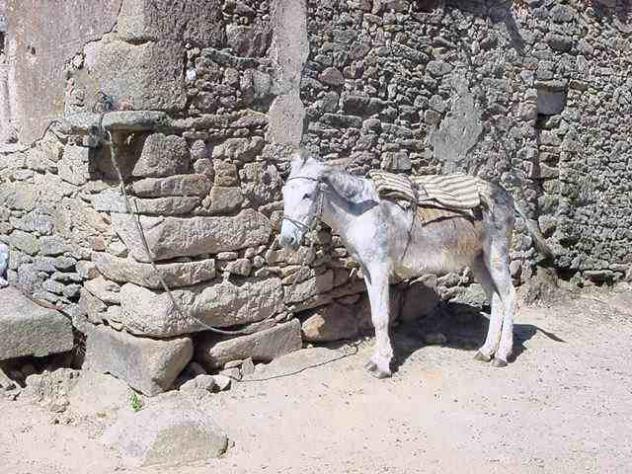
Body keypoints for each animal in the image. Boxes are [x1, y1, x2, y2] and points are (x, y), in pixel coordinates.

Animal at [279, 155, 552, 378]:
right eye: (283, 193)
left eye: (306, 195)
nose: (286, 240)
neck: (361, 213)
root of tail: (505, 194)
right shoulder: (367, 270)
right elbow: (375, 314)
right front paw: (377, 359)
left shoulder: (379, 267)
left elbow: (382, 316)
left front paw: (382, 366)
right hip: (478, 260)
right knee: (496, 299)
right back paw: (486, 351)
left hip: (496, 255)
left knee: (510, 297)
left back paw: (502, 355)